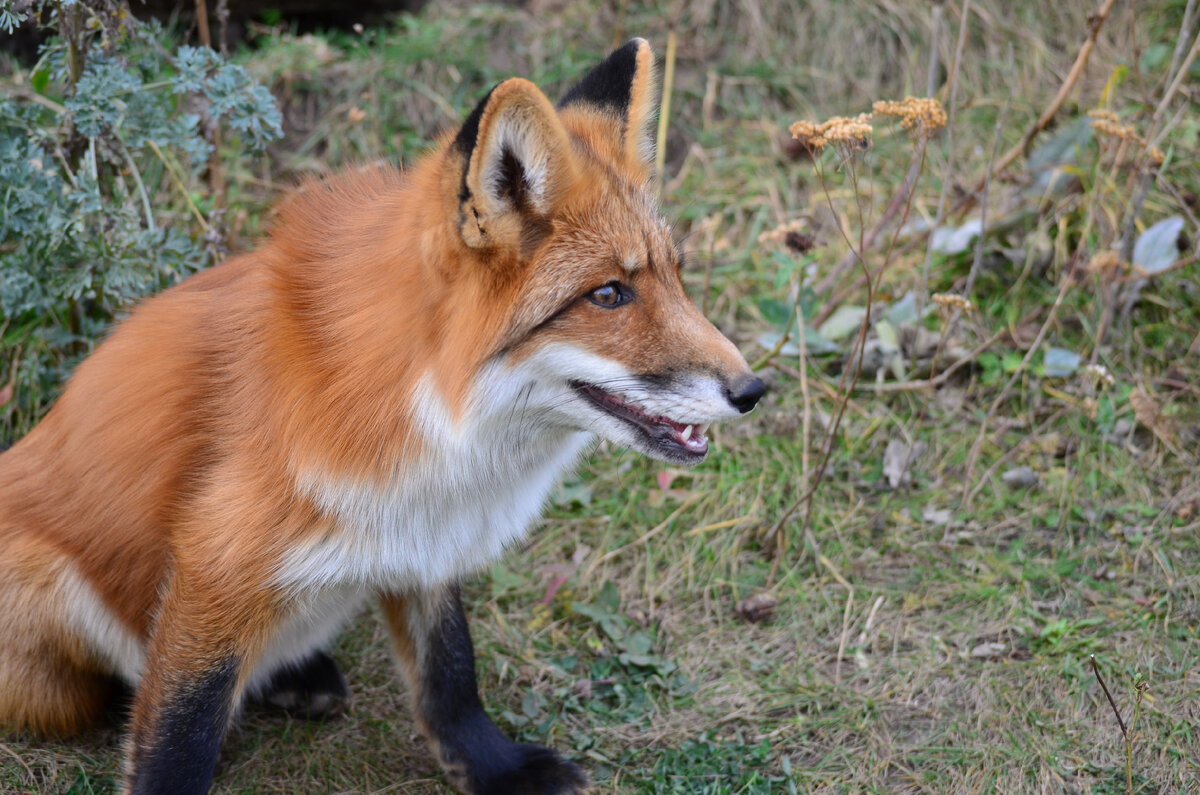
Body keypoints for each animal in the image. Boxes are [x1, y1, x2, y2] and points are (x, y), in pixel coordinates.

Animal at [0, 40, 763, 795]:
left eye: (676, 276)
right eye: (608, 294)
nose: (755, 389)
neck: (422, 411)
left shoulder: (426, 534)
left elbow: (449, 670)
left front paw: (492, 767)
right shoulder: (216, 558)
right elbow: (178, 735)